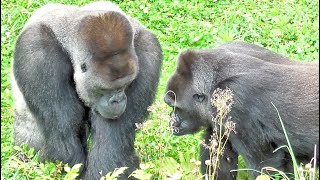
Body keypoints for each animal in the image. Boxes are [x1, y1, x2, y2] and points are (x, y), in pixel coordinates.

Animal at [12, 1, 162, 179]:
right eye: (105, 89)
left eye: (125, 85)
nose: (117, 100)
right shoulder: (37, 48)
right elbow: (65, 143)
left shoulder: (148, 50)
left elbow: (112, 145)